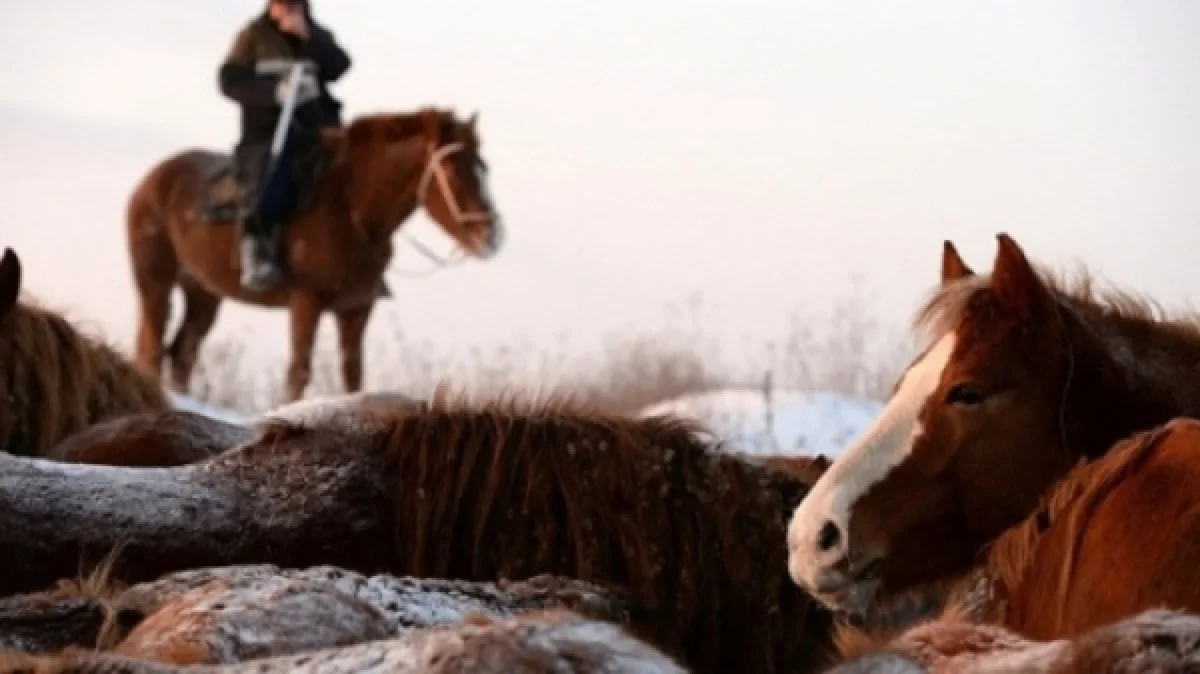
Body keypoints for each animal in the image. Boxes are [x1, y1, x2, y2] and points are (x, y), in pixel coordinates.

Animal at [129, 107, 504, 400]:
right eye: (453, 170)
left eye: (483, 166)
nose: (491, 235)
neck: (349, 208)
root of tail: (150, 180)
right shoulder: (306, 302)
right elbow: (299, 373)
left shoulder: (356, 309)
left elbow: (353, 377)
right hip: (155, 283)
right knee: (152, 349)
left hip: (204, 292)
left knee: (183, 353)